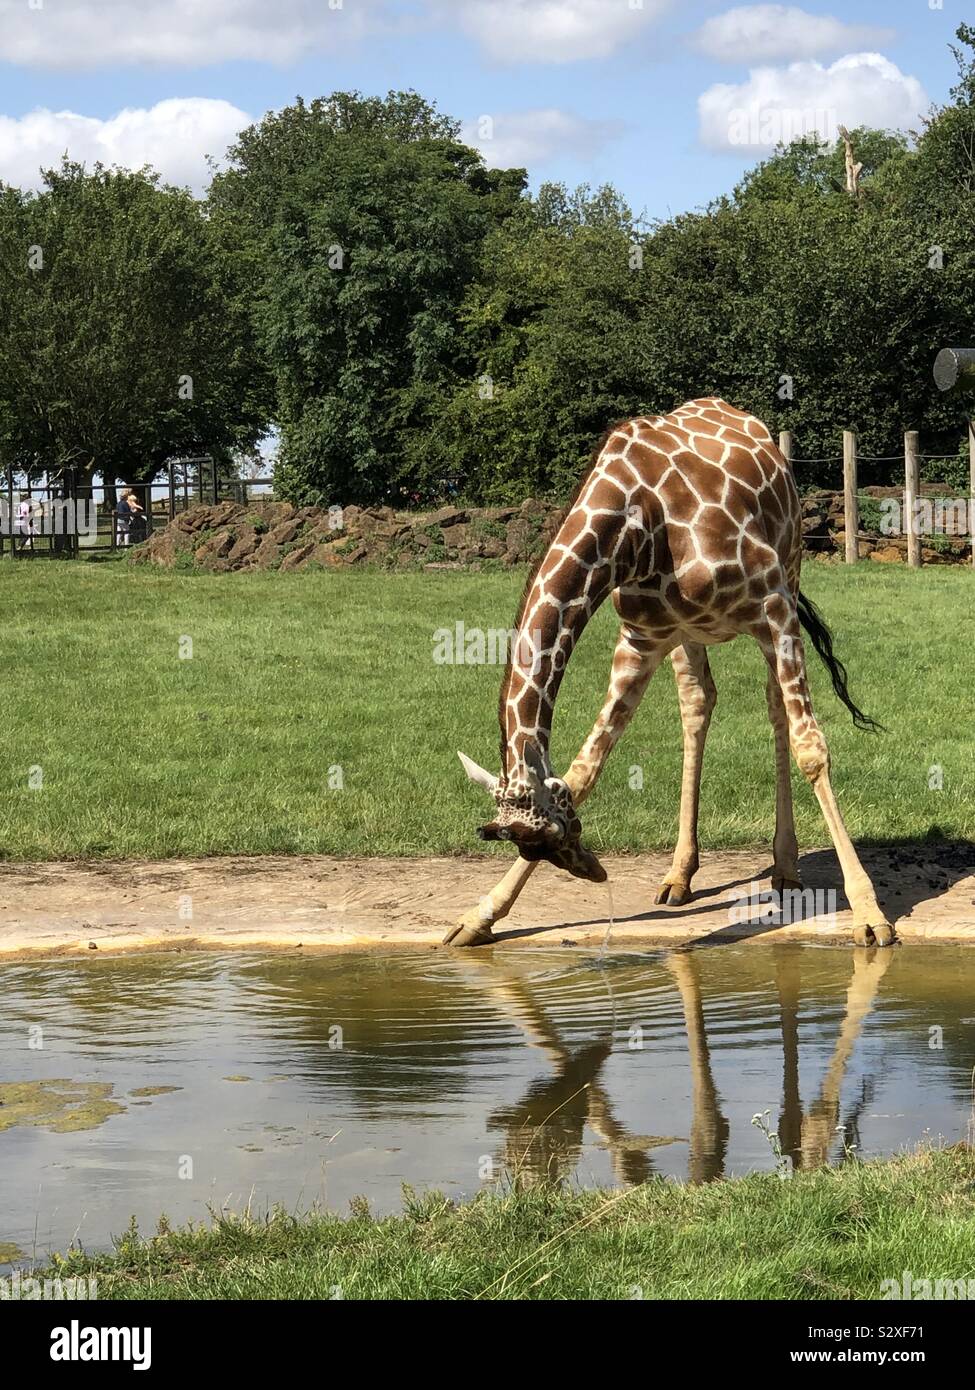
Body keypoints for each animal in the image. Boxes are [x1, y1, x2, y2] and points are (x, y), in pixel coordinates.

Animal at [445, 397, 895, 950]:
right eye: (545, 845)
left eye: (562, 835)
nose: (596, 872)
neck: (634, 531)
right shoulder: (641, 640)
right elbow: (586, 766)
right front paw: (479, 916)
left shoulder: (771, 607)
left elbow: (812, 748)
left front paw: (870, 914)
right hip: (689, 634)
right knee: (698, 702)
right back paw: (679, 875)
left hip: (789, 576)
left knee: (776, 710)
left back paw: (785, 867)